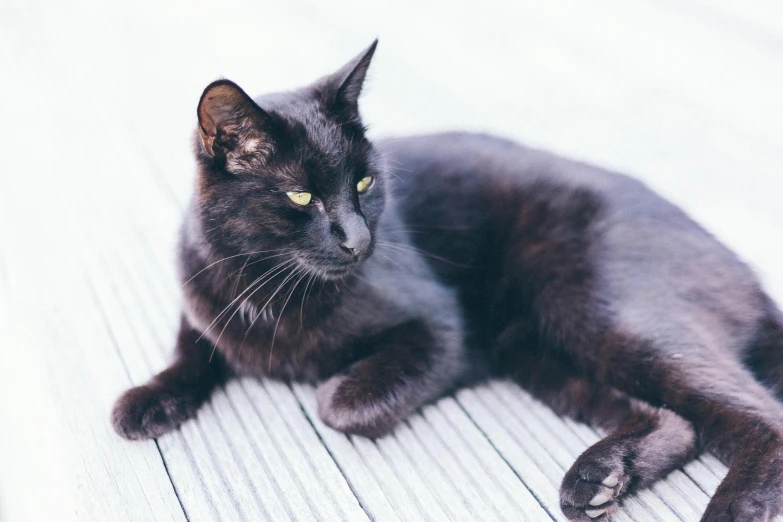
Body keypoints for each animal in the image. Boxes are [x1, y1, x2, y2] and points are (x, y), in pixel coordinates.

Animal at [113, 41, 783, 520]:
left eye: (364, 183)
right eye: (301, 196)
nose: (360, 241)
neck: (268, 286)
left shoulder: (443, 328)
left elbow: (340, 404)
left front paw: (330, 384)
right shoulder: (203, 296)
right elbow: (193, 347)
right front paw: (145, 400)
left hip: (596, 311)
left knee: (755, 413)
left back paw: (729, 508)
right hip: (539, 348)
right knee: (678, 422)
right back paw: (599, 479)